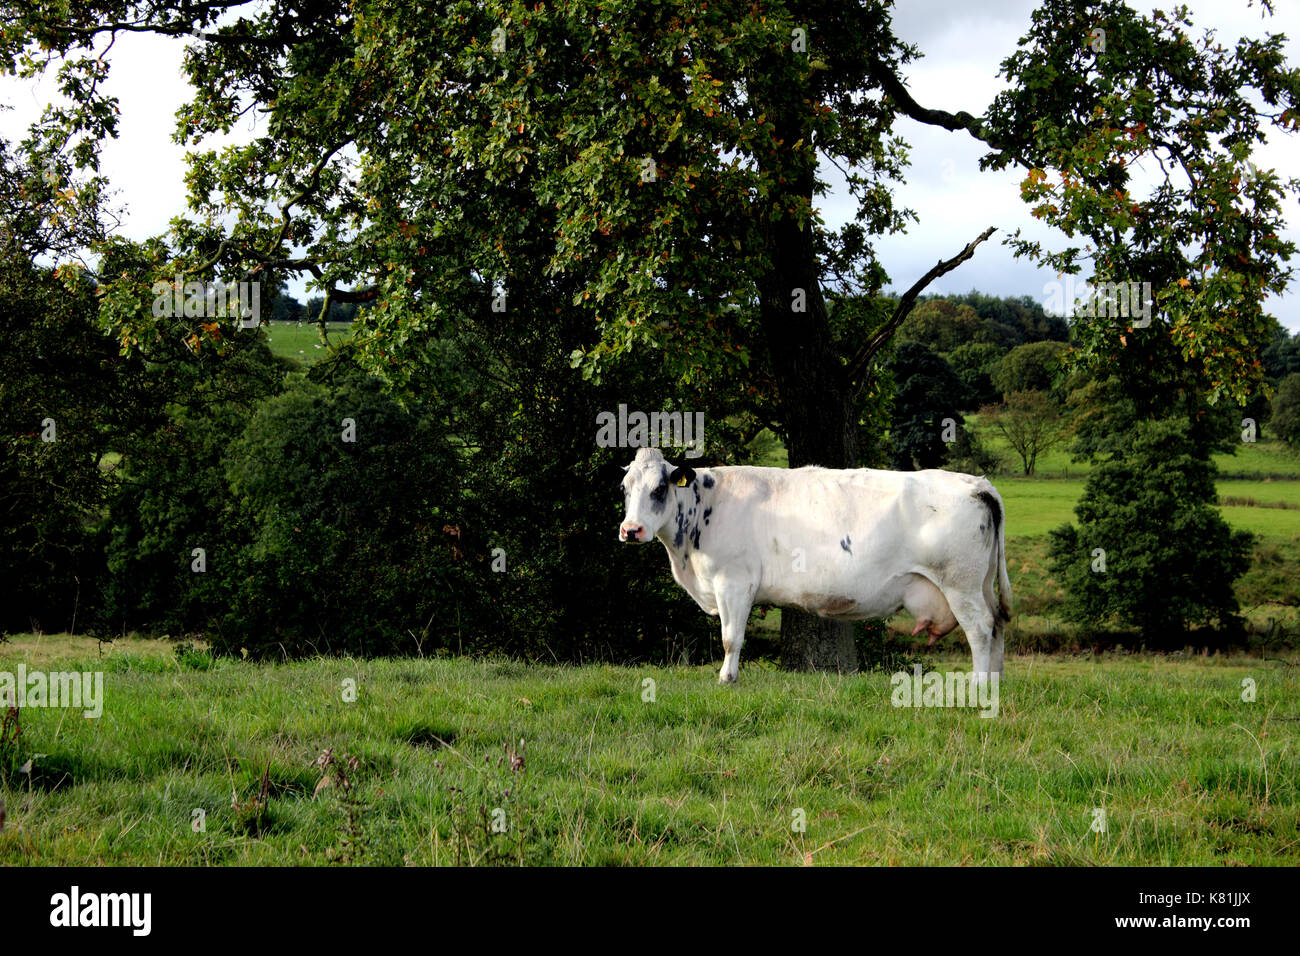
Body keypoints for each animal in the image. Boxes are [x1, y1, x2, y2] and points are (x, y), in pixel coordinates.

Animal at [618, 444, 1013, 686]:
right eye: (624, 488)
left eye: (659, 489)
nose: (630, 530)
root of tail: (975, 483)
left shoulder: (733, 581)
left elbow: (732, 638)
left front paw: (726, 679)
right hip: (981, 584)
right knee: (997, 625)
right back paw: (994, 683)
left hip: (960, 584)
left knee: (980, 628)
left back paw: (978, 685)